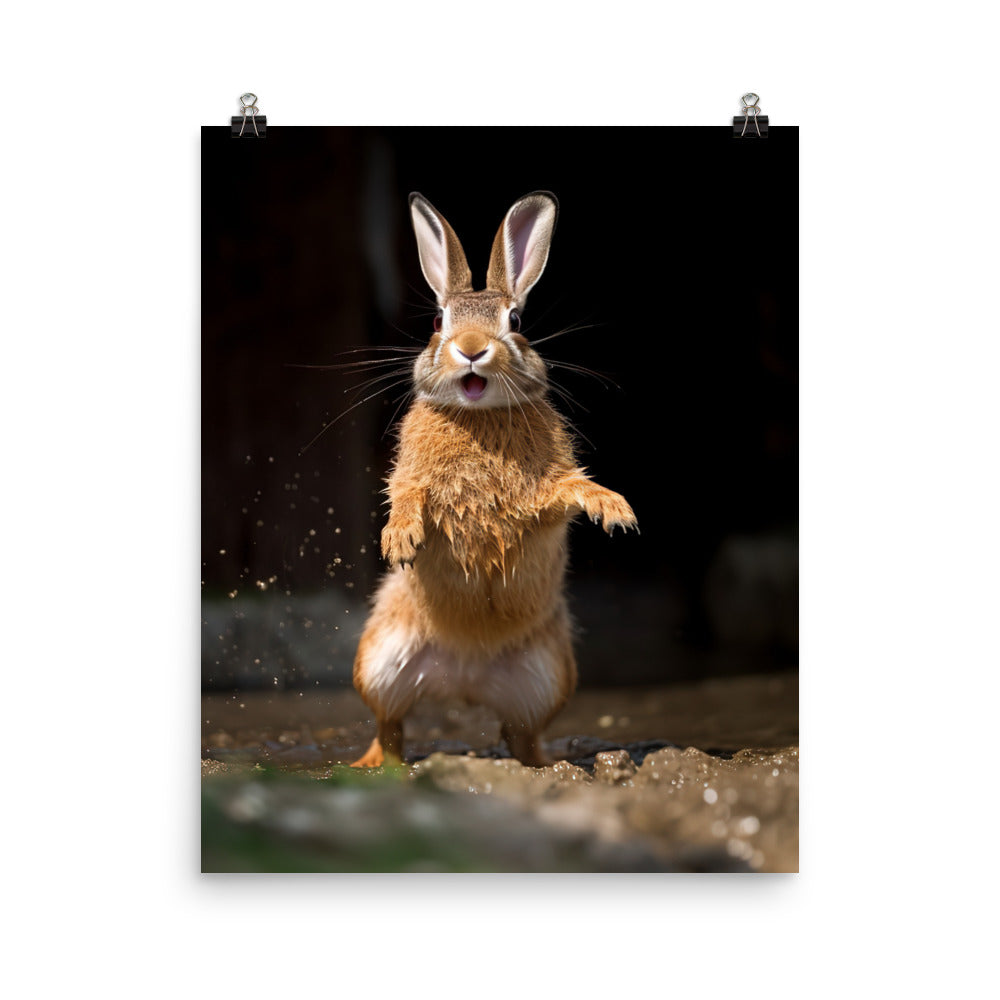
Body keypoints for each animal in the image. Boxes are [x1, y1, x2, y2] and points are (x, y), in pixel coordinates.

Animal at [350, 191, 636, 768]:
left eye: (516, 318)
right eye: (437, 320)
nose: (471, 348)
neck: (477, 414)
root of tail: (464, 676)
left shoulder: (542, 498)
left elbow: (565, 490)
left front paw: (613, 508)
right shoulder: (411, 476)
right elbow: (407, 493)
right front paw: (401, 539)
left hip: (546, 676)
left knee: (520, 735)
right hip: (380, 660)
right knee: (390, 727)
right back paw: (371, 765)